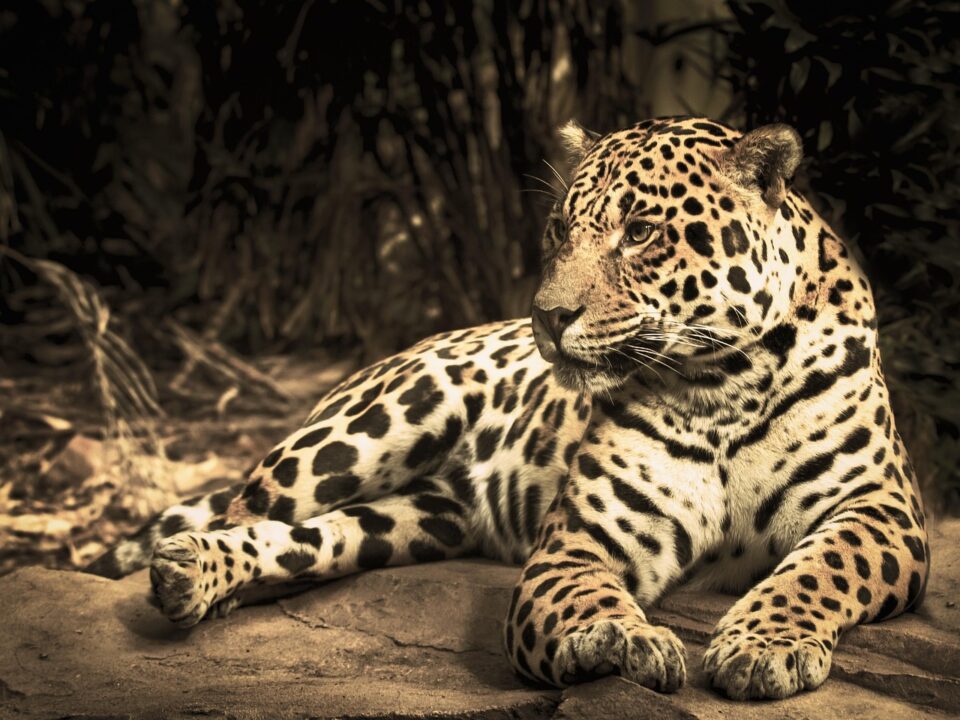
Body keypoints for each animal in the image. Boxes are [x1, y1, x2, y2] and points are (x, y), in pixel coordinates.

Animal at [86, 115, 930, 701]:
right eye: (560, 228)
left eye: (641, 232)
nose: (546, 317)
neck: (720, 379)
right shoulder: (583, 538)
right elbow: (582, 594)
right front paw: (616, 639)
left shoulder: (880, 508)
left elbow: (817, 569)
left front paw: (763, 647)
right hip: (360, 431)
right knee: (244, 511)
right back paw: (195, 576)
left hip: (409, 523)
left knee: (310, 541)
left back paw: (194, 577)